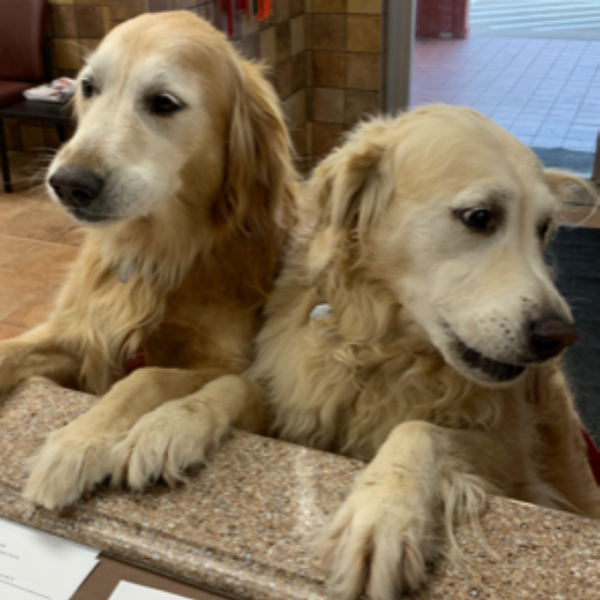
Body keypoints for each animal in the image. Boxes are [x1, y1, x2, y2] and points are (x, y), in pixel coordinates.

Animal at [0, 11, 296, 510]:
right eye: (88, 86)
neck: (155, 257)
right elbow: (8, 350)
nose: (68, 184)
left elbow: (148, 377)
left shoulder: (233, 365)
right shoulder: (81, 335)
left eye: (163, 102)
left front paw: (77, 443)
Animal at [131, 105, 600, 596]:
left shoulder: (519, 467)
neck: (381, 352)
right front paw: (171, 421)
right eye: (478, 216)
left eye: (543, 229)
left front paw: (382, 517)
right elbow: (233, 385)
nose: (560, 336)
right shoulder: (295, 405)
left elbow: (419, 429)